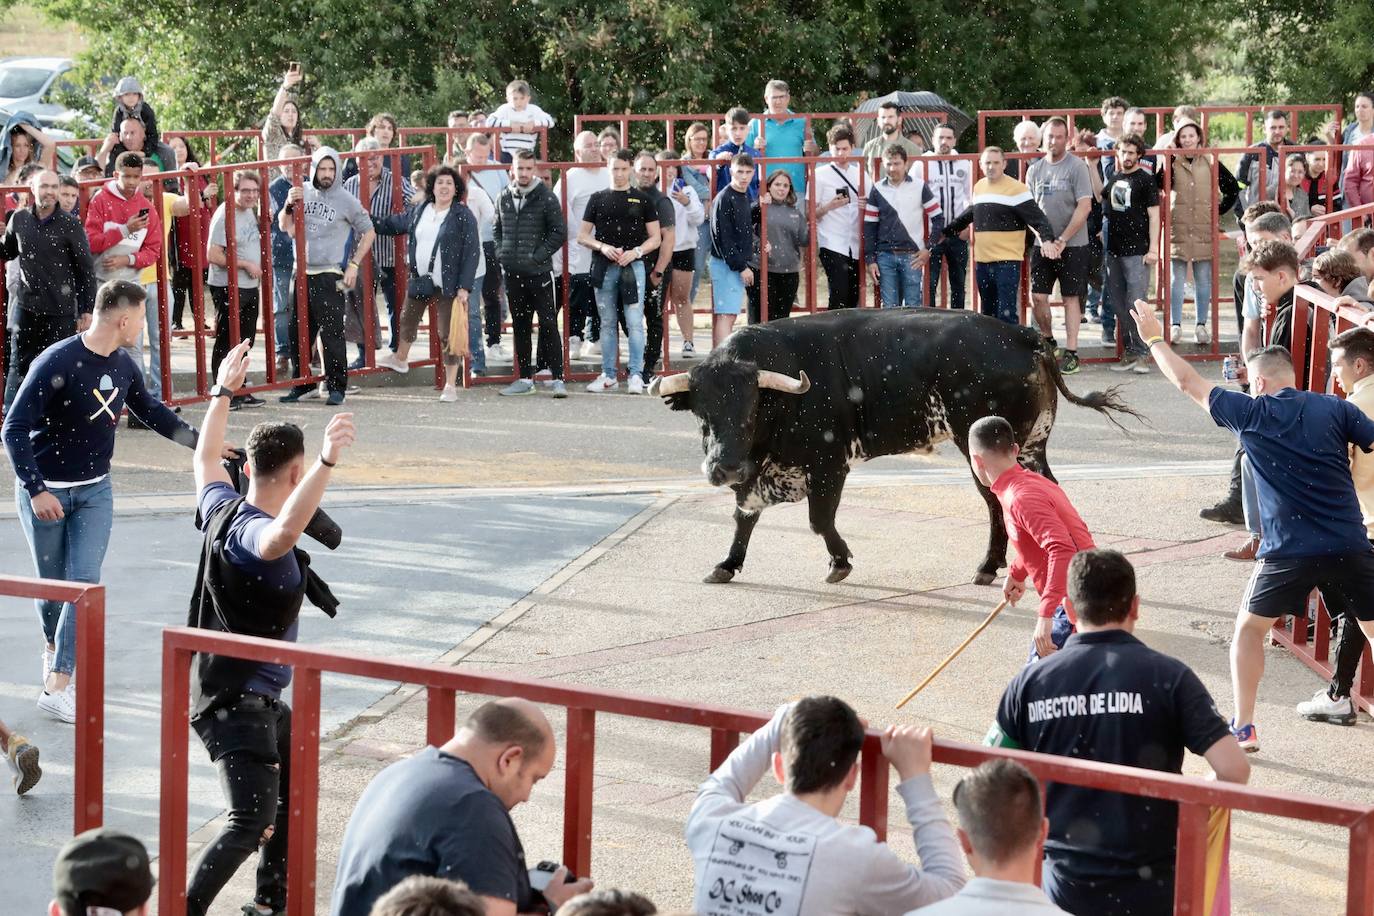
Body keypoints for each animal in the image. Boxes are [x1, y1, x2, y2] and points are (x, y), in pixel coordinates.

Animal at [651, 306, 1137, 579]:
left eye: (751, 409)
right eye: (701, 414)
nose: (723, 468)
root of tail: (1025, 335)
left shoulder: (828, 465)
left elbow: (819, 521)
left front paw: (840, 563)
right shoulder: (757, 476)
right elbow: (743, 517)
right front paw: (728, 564)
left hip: (983, 448)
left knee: (997, 502)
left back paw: (988, 566)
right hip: (1034, 444)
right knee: (1048, 490)